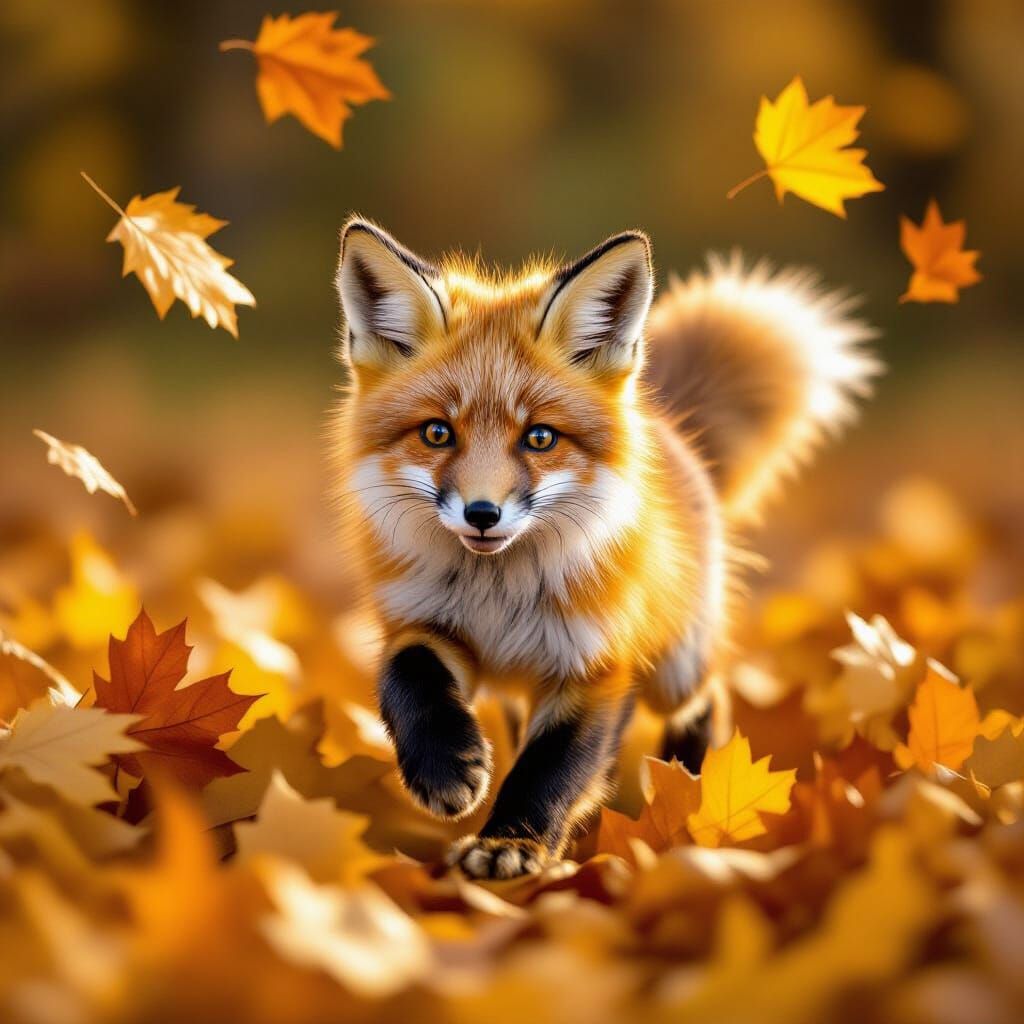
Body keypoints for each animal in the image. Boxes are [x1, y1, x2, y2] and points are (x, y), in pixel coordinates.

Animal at [330, 217, 879, 879]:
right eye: (438, 432)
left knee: (707, 700)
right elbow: (406, 676)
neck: (499, 595)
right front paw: (445, 768)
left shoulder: (594, 664)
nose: (482, 514)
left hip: (675, 668)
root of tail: (669, 427)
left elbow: (549, 769)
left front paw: (512, 844)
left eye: (540, 438)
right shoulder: (422, 623)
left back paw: (690, 789)